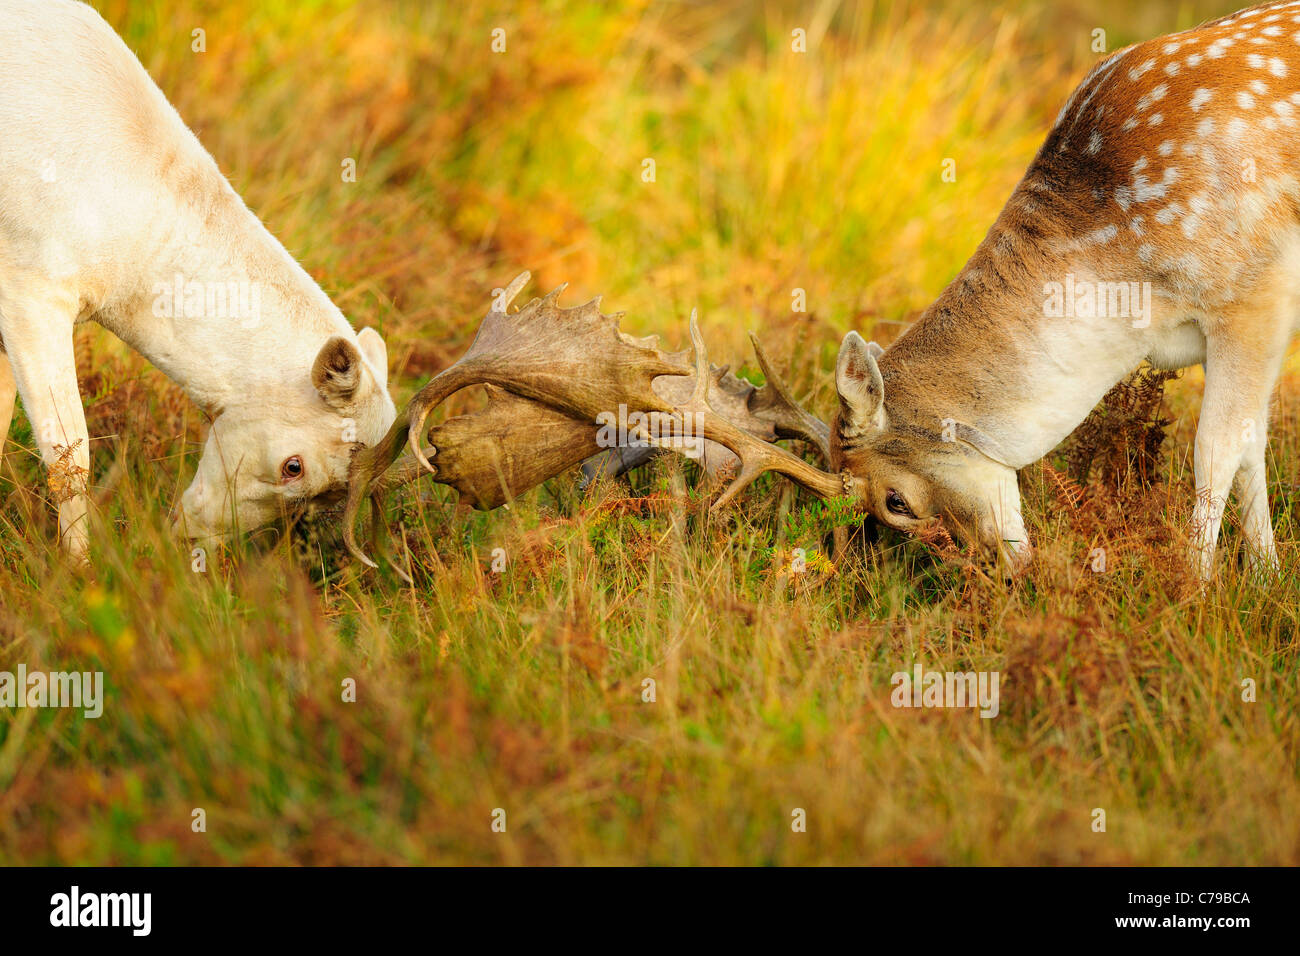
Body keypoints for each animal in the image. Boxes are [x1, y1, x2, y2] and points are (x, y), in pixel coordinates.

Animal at [0, 0, 395, 561]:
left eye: (323, 500)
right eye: (293, 467)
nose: (193, 539)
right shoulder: (31, 292)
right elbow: (68, 455)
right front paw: (78, 570)